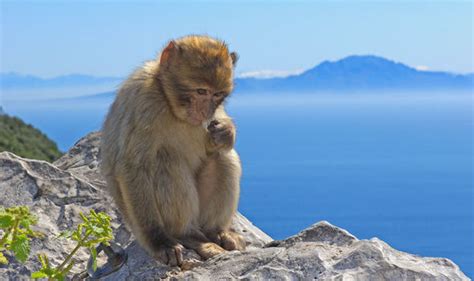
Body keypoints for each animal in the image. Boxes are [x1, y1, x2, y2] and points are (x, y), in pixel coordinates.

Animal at [100, 35, 244, 264]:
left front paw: (226, 131)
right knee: (164, 160)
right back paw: (188, 236)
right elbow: (134, 167)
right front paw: (159, 241)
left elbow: (218, 140)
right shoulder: (143, 102)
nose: (206, 111)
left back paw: (216, 232)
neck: (166, 98)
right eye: (201, 91)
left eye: (217, 94)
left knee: (223, 157)